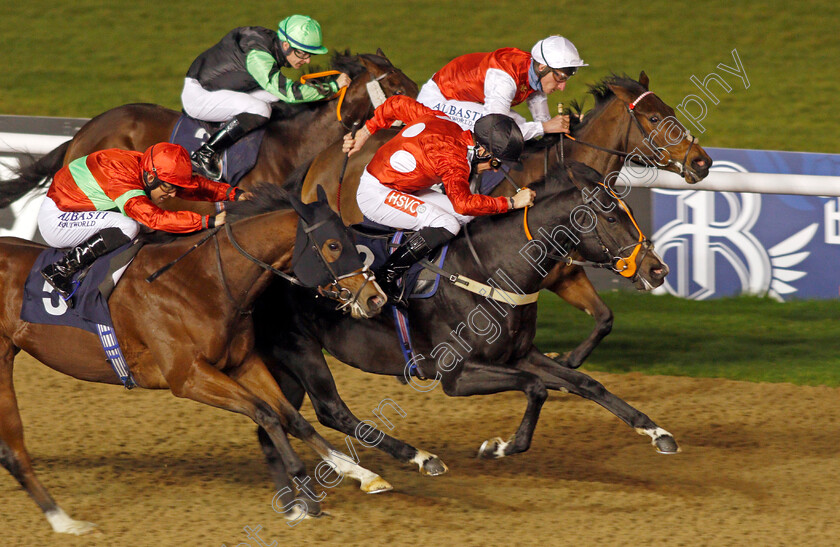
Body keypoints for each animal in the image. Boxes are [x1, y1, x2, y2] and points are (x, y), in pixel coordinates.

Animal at [0, 186, 388, 536]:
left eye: (351, 238)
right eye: (333, 245)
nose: (375, 298)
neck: (202, 280)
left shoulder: (242, 363)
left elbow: (293, 417)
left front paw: (361, 474)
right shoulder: (188, 377)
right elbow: (265, 414)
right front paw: (304, 495)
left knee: (12, 450)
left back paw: (61, 518)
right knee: (15, 449)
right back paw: (65, 521)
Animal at [254, 161, 676, 478]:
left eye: (630, 211)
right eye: (610, 216)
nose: (658, 270)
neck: (491, 269)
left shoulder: (519, 354)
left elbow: (588, 384)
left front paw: (657, 432)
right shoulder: (456, 375)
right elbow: (537, 388)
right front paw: (499, 446)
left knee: (283, 415)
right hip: (298, 346)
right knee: (330, 409)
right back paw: (417, 458)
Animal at [302, 70, 708, 366]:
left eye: (671, 111)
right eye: (654, 117)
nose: (703, 162)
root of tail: (320, 162)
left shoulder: (566, 273)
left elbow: (604, 318)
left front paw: (565, 358)